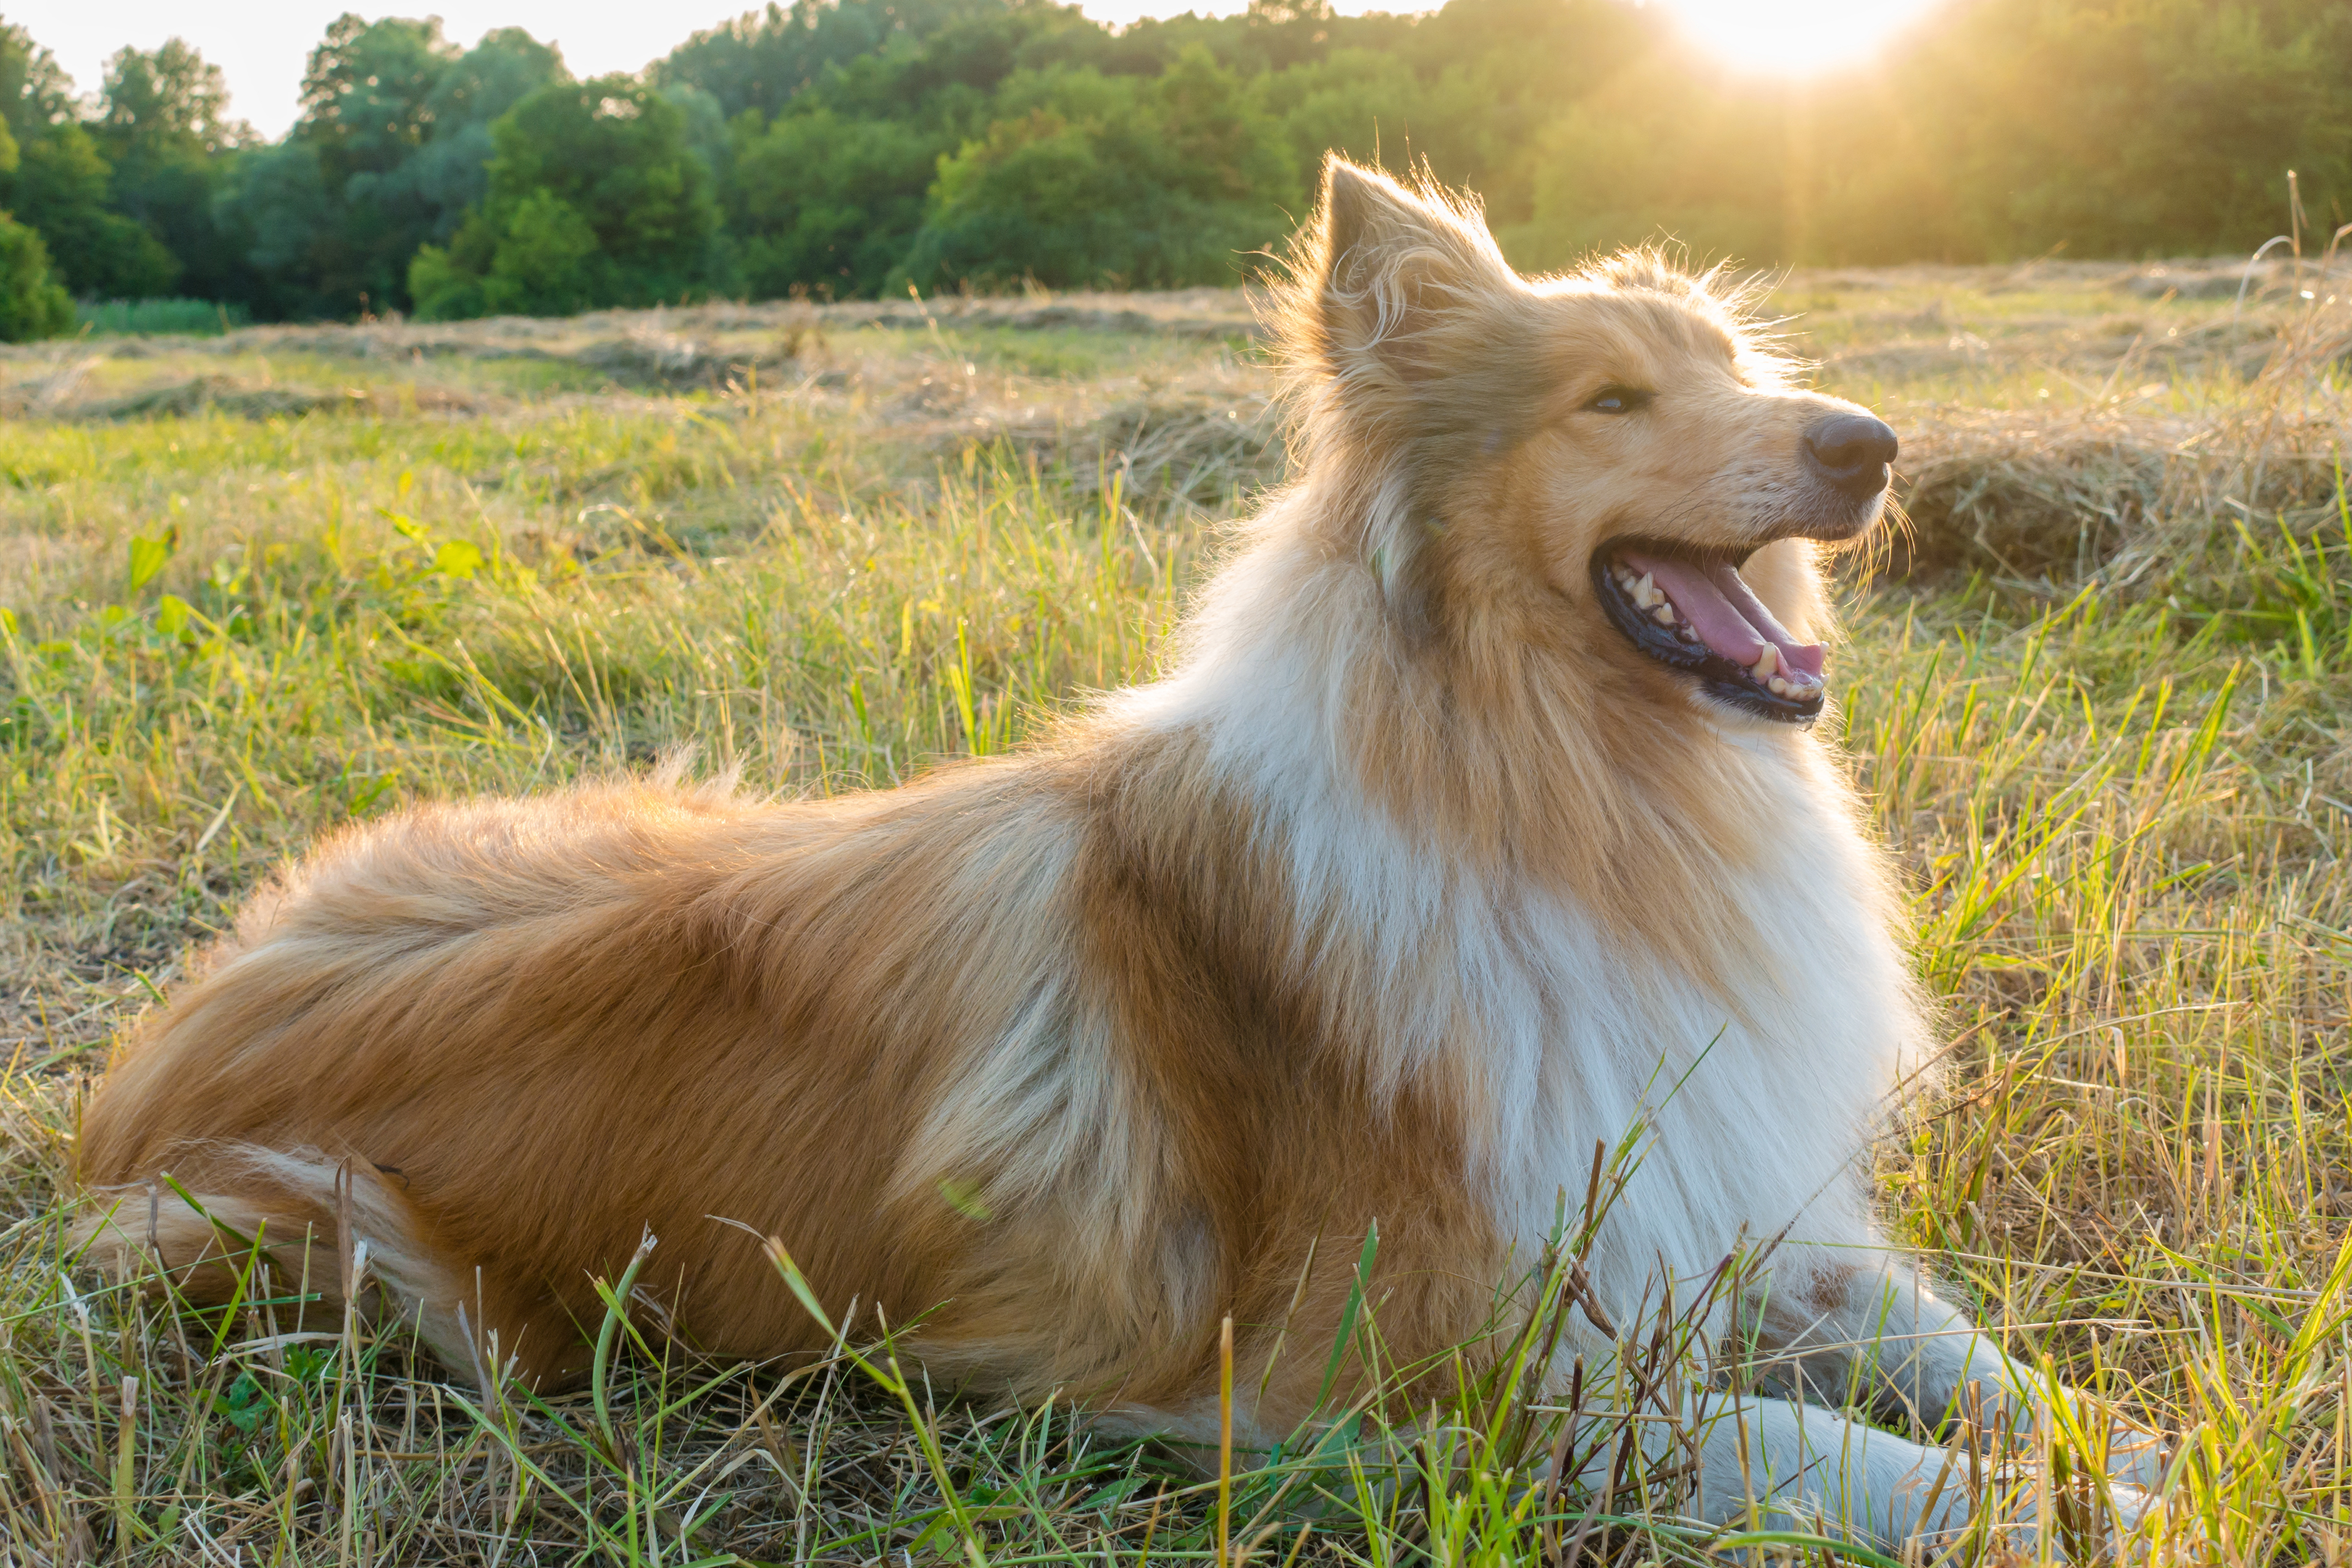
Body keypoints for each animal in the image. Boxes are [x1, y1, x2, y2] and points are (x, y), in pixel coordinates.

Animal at [78, 156, 2154, 1542]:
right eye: (1613, 400)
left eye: (1732, 365)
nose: (1868, 441)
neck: (1552, 784)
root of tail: (145, 1061)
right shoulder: (1436, 1374)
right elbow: (1845, 1453)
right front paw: (2096, 1505)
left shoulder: (1718, 1209)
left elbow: (1965, 1351)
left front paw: (2132, 1435)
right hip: (342, 1247)